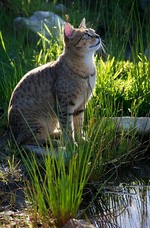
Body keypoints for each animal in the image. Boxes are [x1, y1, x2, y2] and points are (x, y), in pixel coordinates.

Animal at [0, 18, 101, 154]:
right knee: (27, 141)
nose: (98, 36)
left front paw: (81, 140)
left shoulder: (80, 105)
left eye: (94, 31)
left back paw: (58, 135)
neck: (87, 68)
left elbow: (78, 125)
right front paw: (72, 144)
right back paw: (57, 142)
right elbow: (68, 127)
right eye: (87, 34)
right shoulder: (65, 105)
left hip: (51, 121)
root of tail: (10, 132)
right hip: (37, 124)